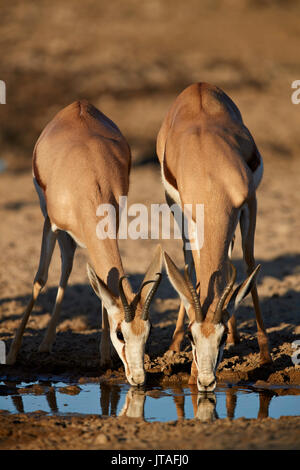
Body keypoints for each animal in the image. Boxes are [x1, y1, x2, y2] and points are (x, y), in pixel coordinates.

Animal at [7, 100, 162, 386]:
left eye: (148, 332)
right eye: (120, 333)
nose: (138, 378)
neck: (89, 180)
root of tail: (78, 104)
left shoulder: (109, 227)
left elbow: (105, 285)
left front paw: (104, 358)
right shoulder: (51, 224)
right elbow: (40, 279)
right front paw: (12, 355)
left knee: (68, 266)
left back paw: (47, 343)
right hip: (53, 223)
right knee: (62, 268)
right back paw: (43, 345)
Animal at [157, 82, 272, 392]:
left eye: (217, 339)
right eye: (192, 336)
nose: (207, 381)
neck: (211, 179)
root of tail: (198, 85)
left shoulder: (250, 202)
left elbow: (248, 263)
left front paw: (265, 354)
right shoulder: (190, 214)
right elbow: (196, 270)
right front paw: (191, 371)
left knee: (230, 258)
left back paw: (236, 334)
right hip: (175, 208)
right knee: (188, 260)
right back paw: (172, 346)